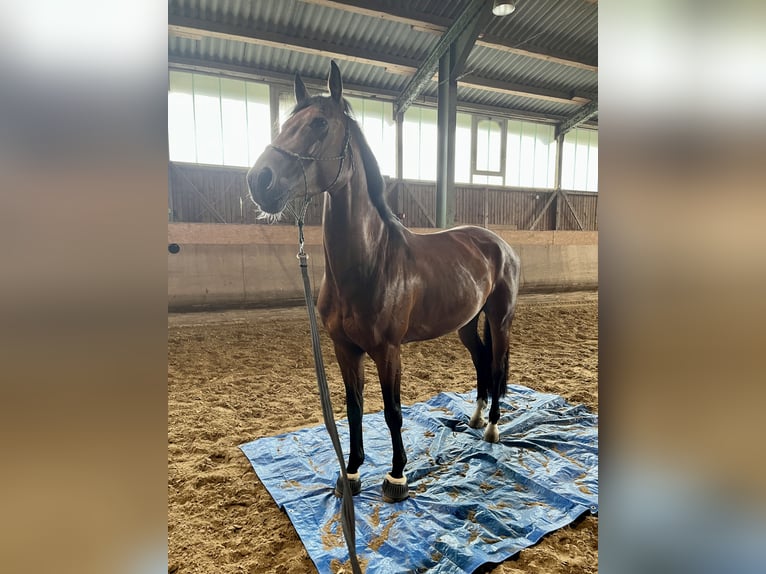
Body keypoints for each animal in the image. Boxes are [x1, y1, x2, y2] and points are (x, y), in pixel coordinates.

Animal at [247, 62, 520, 503]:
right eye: (285, 124)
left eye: (319, 124)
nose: (259, 180)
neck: (370, 263)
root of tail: (498, 243)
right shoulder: (345, 349)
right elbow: (354, 406)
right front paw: (353, 471)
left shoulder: (389, 351)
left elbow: (392, 412)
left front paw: (396, 476)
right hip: (465, 323)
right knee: (480, 360)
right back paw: (476, 419)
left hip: (500, 318)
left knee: (495, 365)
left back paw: (494, 426)